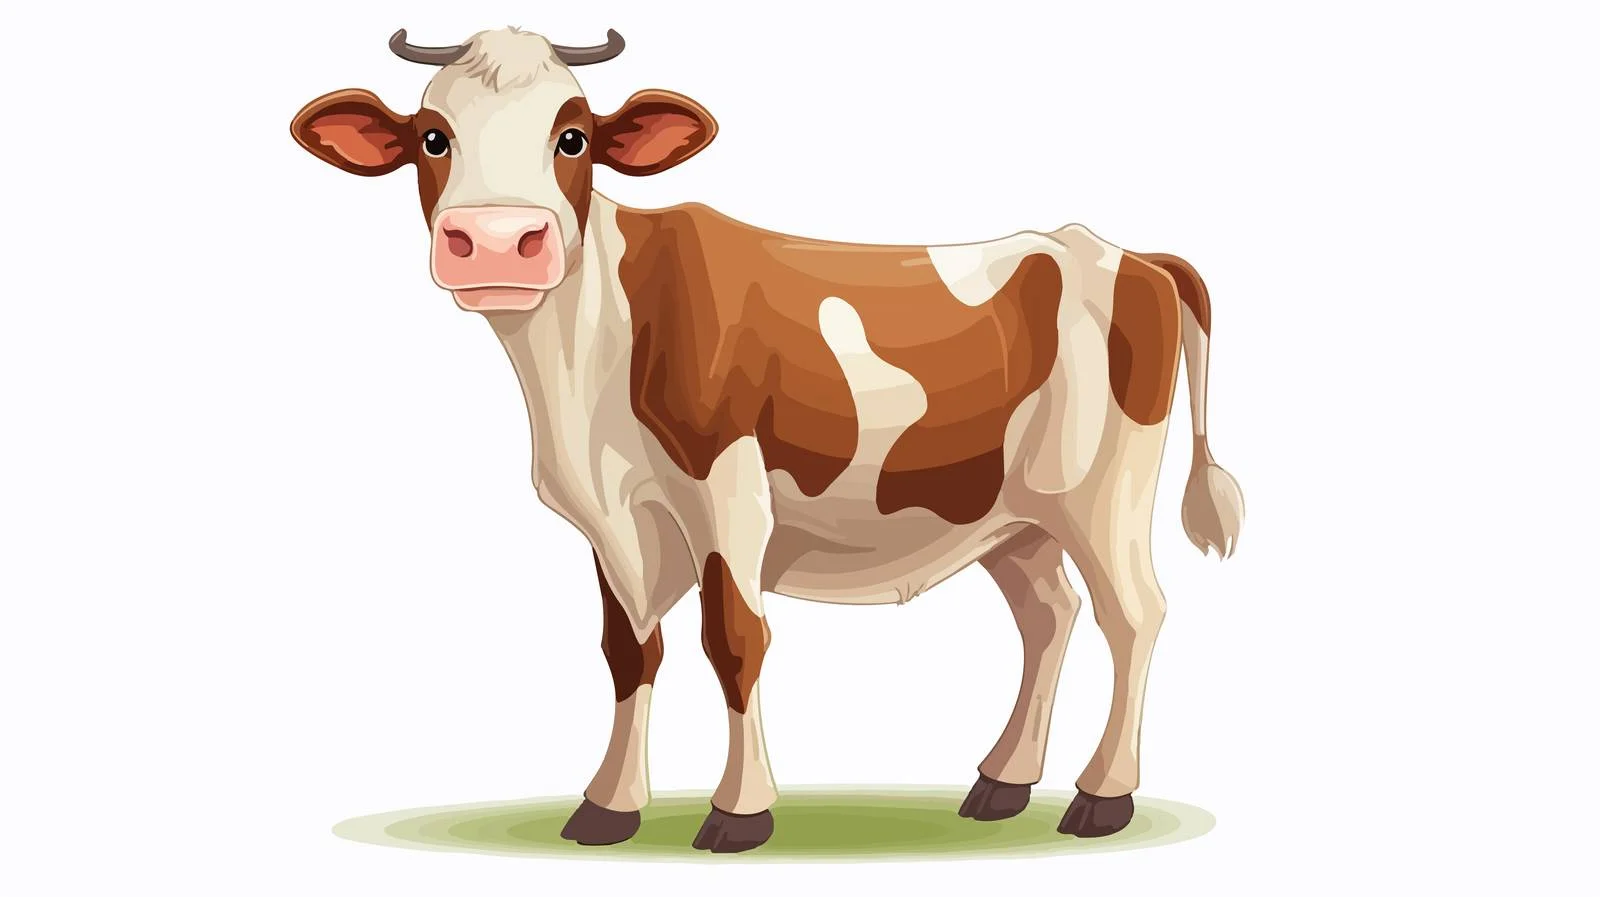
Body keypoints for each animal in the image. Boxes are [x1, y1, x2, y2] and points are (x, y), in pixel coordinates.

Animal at [291, 26, 1244, 853]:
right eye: (432, 136)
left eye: (573, 137)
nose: (496, 242)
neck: (585, 364)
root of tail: (1124, 253)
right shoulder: (611, 516)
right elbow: (628, 650)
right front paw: (608, 805)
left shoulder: (728, 491)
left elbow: (735, 638)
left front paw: (740, 811)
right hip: (1009, 512)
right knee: (1050, 614)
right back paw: (1004, 781)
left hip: (1103, 492)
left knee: (1133, 614)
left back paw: (1103, 794)